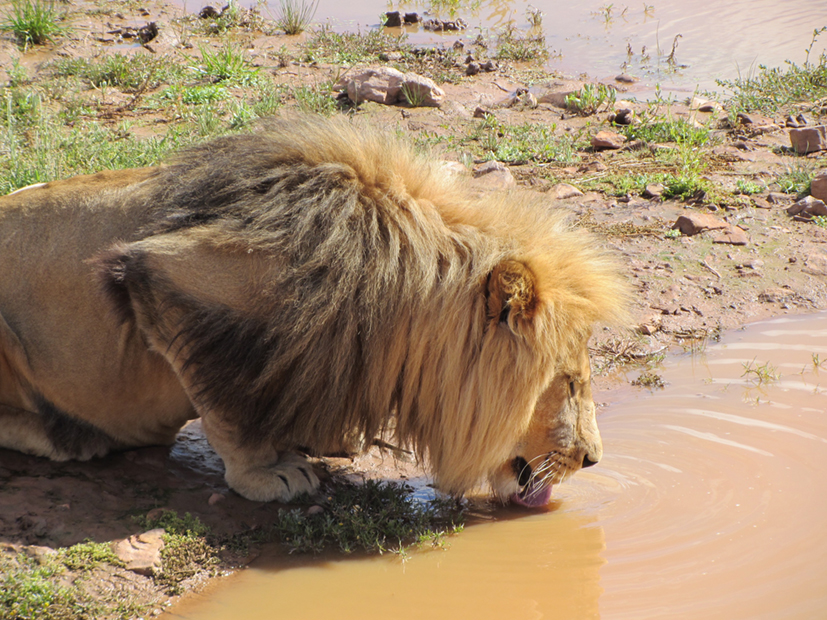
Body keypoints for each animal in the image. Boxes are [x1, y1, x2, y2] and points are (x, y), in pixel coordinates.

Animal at [0, 114, 628, 506]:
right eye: (572, 384)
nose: (594, 461)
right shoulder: (170, 277)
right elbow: (227, 407)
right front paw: (266, 472)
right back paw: (71, 436)